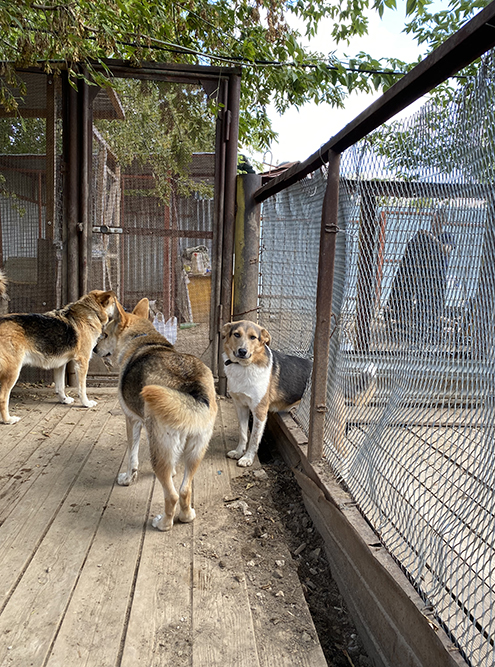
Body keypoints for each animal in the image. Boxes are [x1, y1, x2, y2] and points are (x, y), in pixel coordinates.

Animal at [0, 290, 116, 426]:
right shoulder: (82, 362)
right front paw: (86, 403)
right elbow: (82, 389)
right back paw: (8, 420)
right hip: (13, 372)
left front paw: (64, 400)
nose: (124, 309)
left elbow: (60, 387)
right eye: (115, 303)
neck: (91, 311)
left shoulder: (60, 364)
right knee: (3, 398)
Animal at [93, 298, 217, 532]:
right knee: (185, 490)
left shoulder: (132, 420)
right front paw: (174, 472)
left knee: (172, 495)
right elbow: (173, 468)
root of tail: (190, 387)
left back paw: (164, 523)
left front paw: (127, 478)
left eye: (104, 334)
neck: (141, 339)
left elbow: (131, 456)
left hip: (158, 450)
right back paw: (187, 516)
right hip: (196, 452)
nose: (94, 349)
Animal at [223, 320, 312, 468]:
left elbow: (254, 438)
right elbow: (243, 433)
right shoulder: (241, 407)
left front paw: (247, 458)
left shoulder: (260, 411)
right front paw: (238, 452)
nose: (242, 351)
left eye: (253, 337)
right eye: (236, 334)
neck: (244, 366)